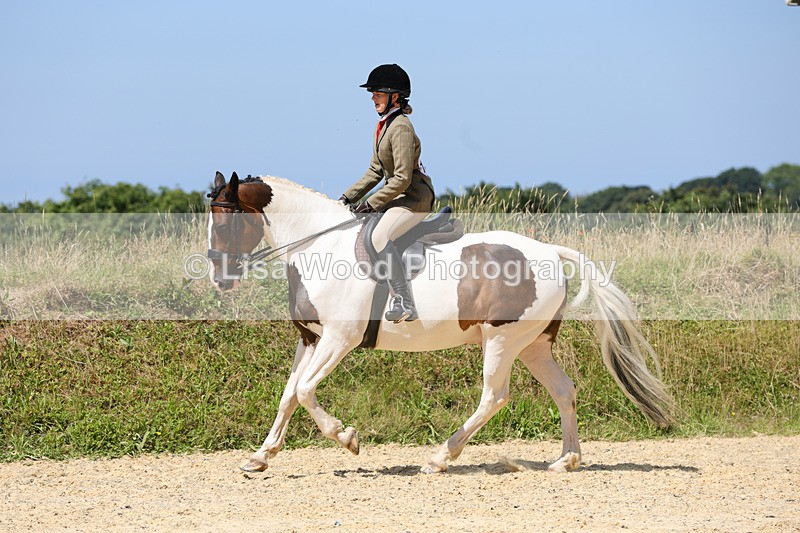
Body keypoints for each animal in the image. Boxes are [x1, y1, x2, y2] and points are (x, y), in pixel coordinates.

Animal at [206, 171, 675, 474]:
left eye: (225, 223)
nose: (219, 278)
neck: (319, 245)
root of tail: (550, 251)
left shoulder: (339, 338)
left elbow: (304, 391)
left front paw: (347, 437)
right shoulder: (311, 339)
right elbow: (289, 395)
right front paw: (260, 457)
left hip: (503, 341)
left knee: (494, 397)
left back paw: (441, 457)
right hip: (533, 345)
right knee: (564, 391)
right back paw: (566, 460)